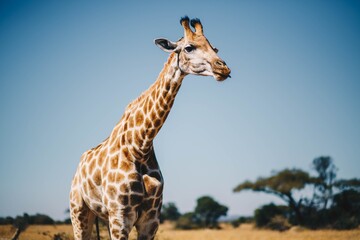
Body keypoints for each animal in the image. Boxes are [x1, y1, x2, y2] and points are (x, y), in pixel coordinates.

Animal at [69, 16, 231, 240]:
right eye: (189, 47)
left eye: (214, 48)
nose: (223, 69)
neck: (140, 146)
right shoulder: (120, 216)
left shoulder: (150, 220)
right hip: (79, 211)